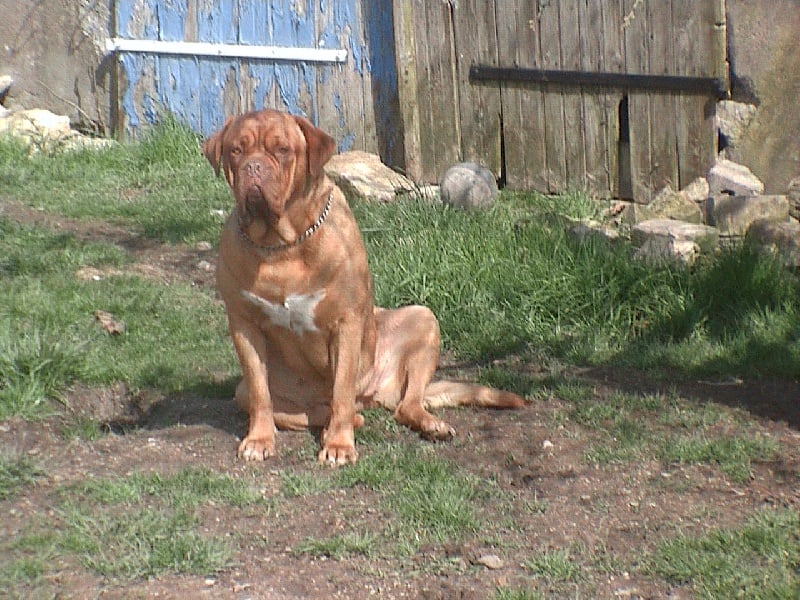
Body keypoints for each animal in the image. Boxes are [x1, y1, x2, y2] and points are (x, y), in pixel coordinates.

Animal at [202, 109, 526, 466]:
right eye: (236, 150)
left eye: (282, 150)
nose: (254, 167)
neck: (282, 247)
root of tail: (377, 396)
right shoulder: (244, 325)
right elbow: (262, 395)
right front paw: (259, 439)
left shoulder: (346, 324)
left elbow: (342, 389)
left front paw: (339, 445)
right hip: (242, 391)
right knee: (296, 408)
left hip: (422, 319)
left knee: (404, 404)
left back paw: (426, 425)